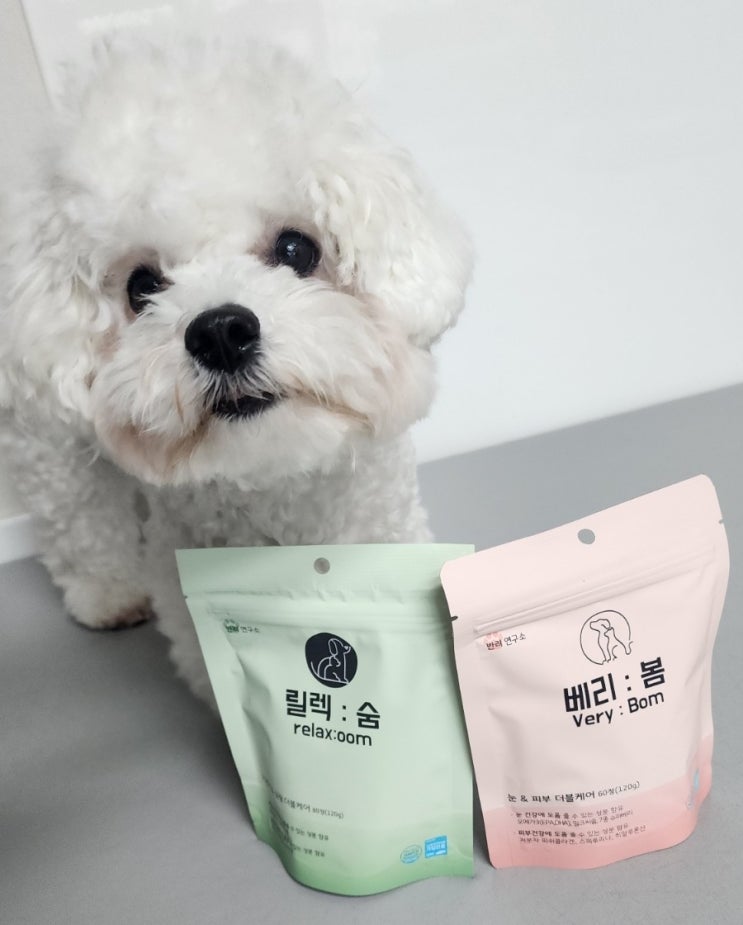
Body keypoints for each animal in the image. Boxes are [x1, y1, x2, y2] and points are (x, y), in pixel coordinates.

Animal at [0, 34, 471, 702]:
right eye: (142, 287)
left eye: (297, 248)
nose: (220, 332)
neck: (274, 485)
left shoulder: (381, 522)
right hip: (49, 449)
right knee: (80, 522)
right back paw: (107, 594)